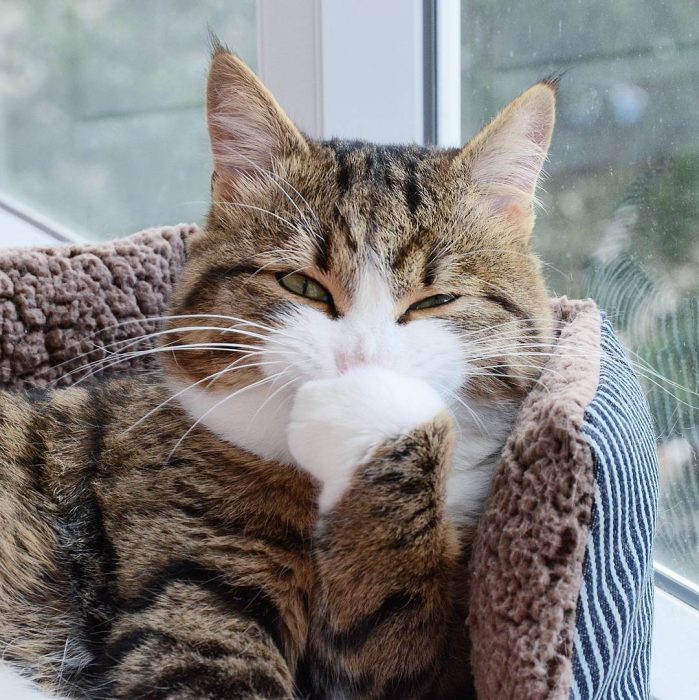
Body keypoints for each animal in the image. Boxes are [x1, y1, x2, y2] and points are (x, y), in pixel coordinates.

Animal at [0, 43, 556, 700]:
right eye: (301, 285)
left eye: (434, 301)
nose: (358, 359)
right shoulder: (190, 579)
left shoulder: (425, 663)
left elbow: (401, 634)